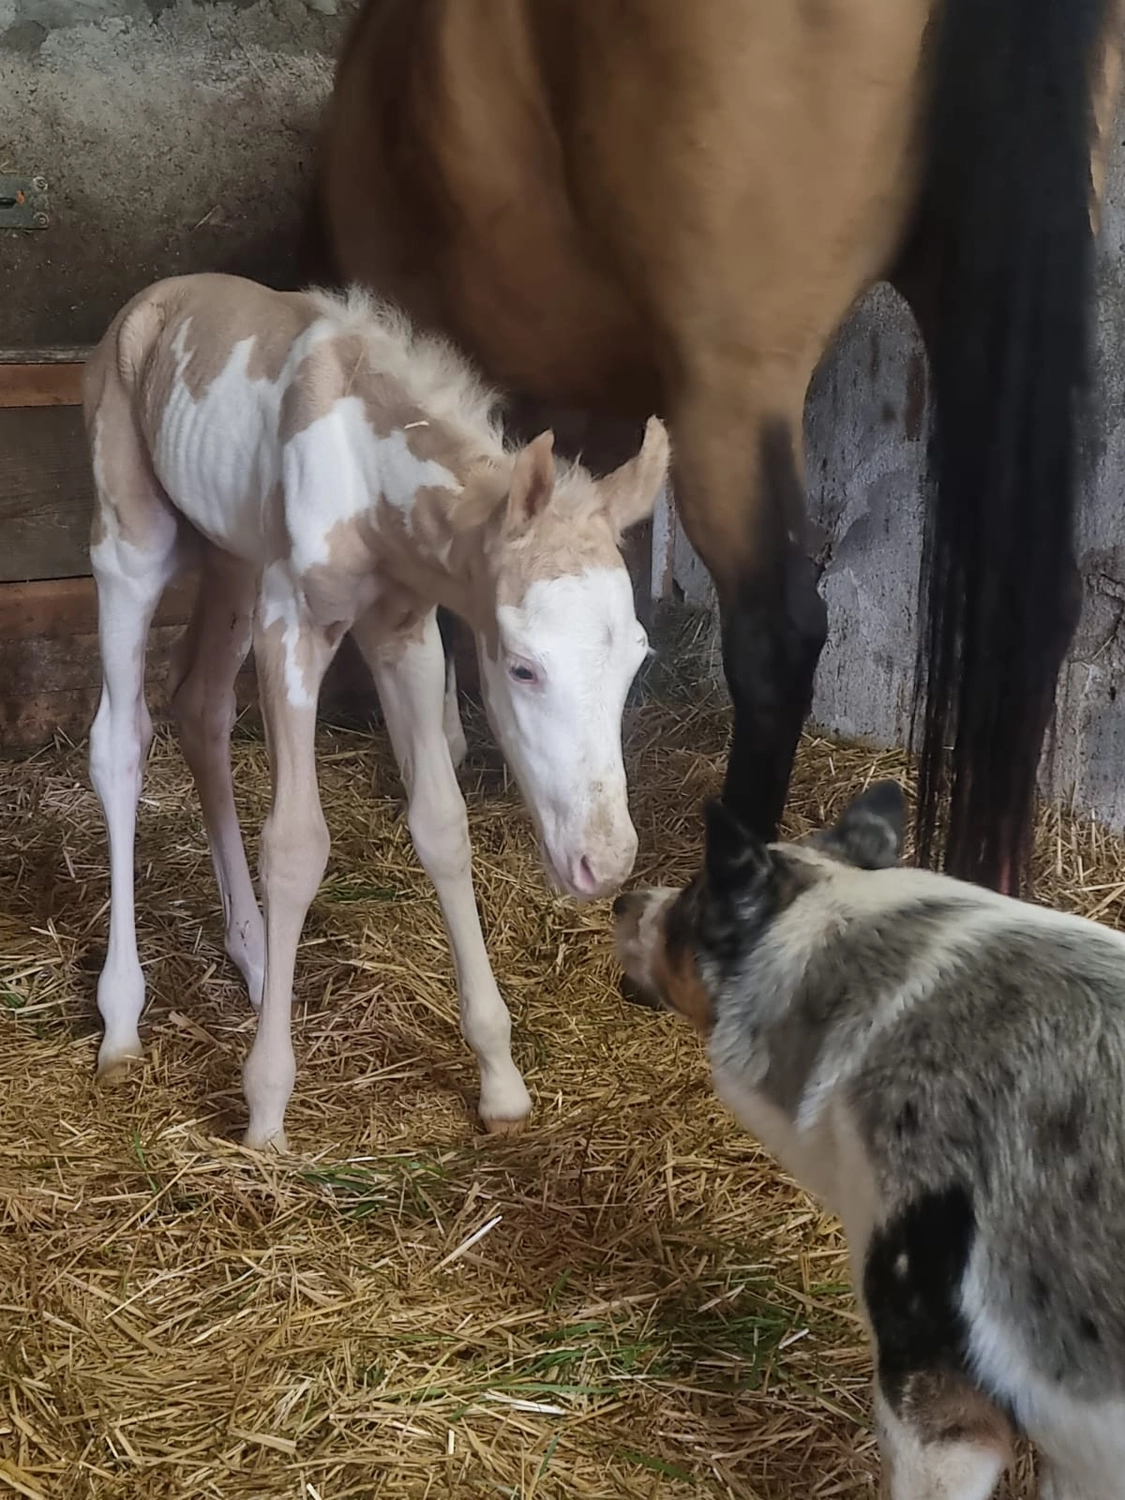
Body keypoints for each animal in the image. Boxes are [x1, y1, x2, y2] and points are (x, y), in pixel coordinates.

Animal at [82, 272, 669, 1150]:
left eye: (637, 657)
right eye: (523, 667)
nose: (603, 863)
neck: (363, 464)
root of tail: (151, 302)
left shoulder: (405, 631)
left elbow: (442, 825)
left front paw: (500, 1081)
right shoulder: (291, 624)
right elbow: (295, 845)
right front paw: (266, 1110)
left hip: (231, 559)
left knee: (201, 709)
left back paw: (256, 960)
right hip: (132, 544)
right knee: (121, 739)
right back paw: (121, 1022)